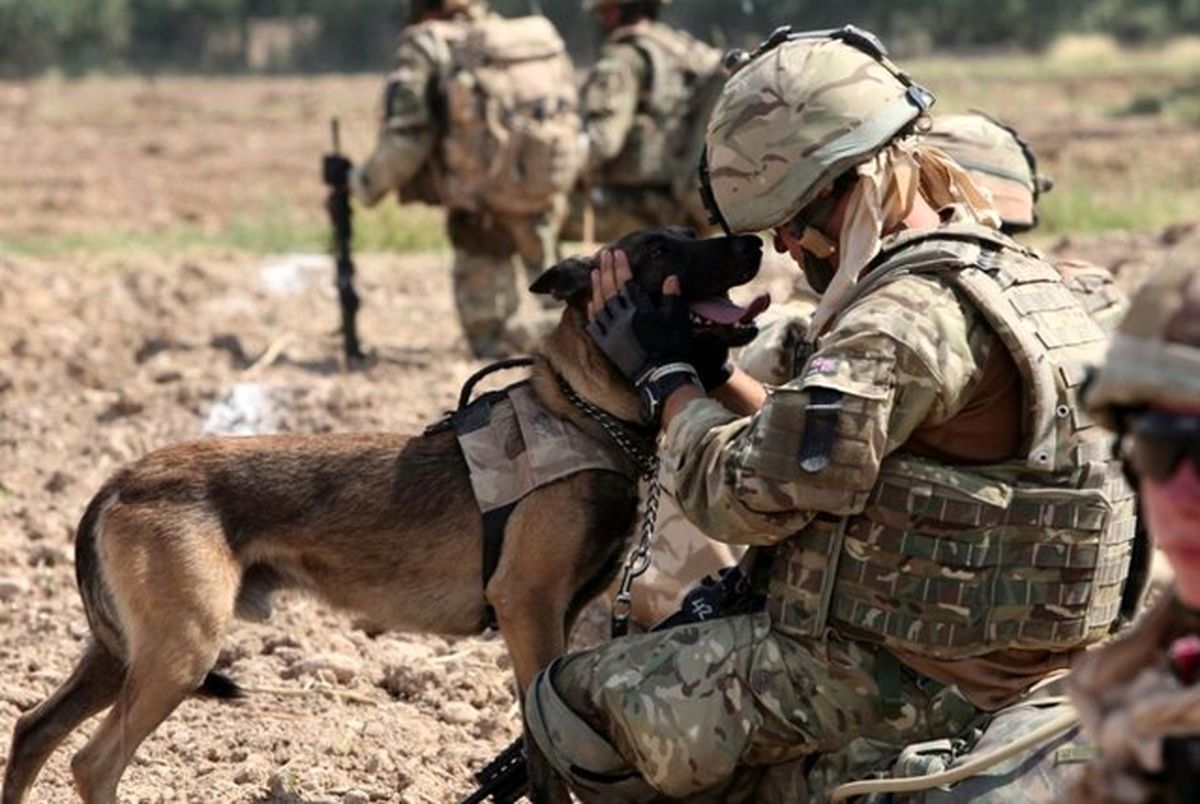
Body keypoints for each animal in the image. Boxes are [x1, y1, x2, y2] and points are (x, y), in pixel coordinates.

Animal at [0, 228, 763, 804]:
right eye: (660, 248)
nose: (752, 241)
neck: (584, 410)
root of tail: (118, 481)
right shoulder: (528, 609)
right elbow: (546, 758)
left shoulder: (554, 622)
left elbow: (540, 747)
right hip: (179, 650)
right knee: (93, 761)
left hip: (124, 651)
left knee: (33, 729)